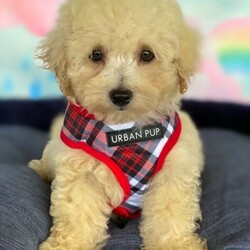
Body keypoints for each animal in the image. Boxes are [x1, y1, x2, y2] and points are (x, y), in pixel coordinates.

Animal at [29, 0, 207, 249]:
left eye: (146, 54)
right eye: (96, 54)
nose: (121, 95)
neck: (123, 130)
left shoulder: (173, 170)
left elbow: (170, 214)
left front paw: (174, 244)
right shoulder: (80, 170)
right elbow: (78, 214)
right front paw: (69, 244)